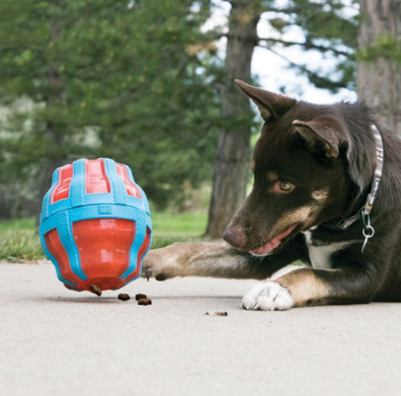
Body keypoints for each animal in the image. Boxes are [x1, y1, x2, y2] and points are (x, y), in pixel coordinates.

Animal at [143, 79, 401, 310]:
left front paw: (273, 288)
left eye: (284, 185)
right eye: (254, 174)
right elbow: (189, 248)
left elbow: (307, 273)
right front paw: (146, 257)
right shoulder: (275, 248)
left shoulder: (367, 276)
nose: (230, 237)